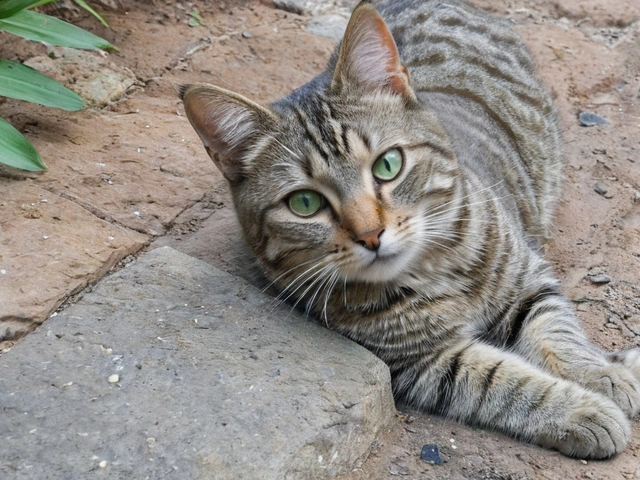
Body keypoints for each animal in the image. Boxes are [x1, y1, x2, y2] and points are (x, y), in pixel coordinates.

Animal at [178, 0, 640, 458]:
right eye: (304, 203)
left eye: (388, 165)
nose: (370, 234)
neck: (432, 268)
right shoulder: (423, 364)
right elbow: (503, 382)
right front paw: (582, 410)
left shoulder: (526, 279)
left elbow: (556, 331)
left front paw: (602, 375)